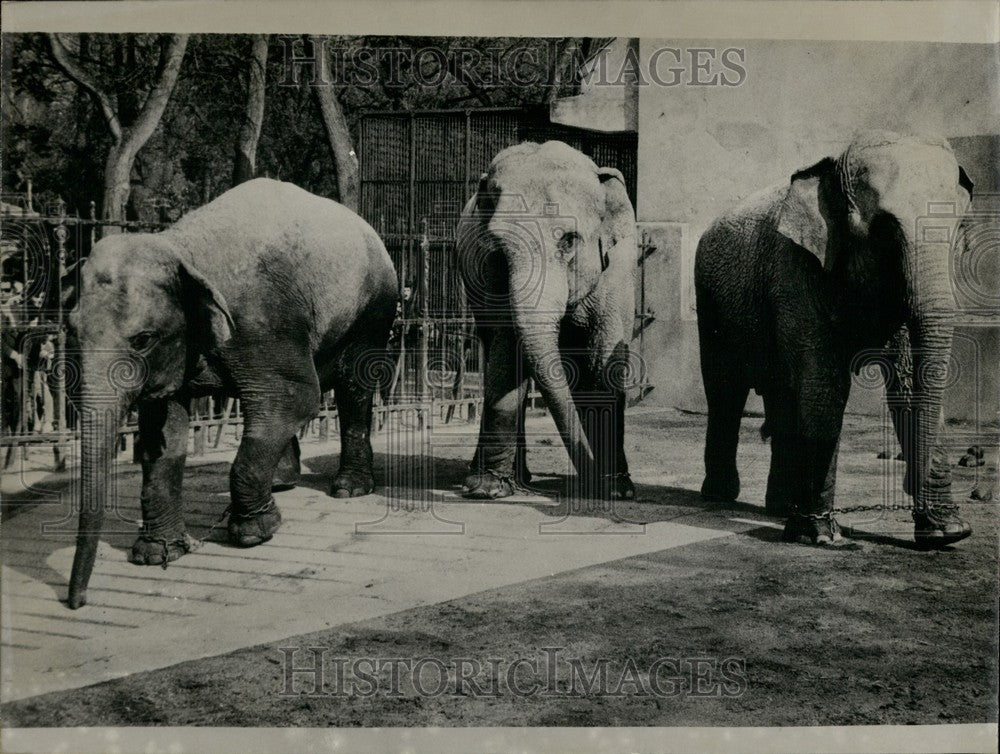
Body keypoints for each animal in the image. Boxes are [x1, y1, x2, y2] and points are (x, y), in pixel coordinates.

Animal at [66, 179, 398, 608]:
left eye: (142, 339)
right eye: (72, 330)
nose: (76, 601)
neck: (181, 246)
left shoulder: (263, 322)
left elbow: (296, 397)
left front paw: (256, 532)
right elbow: (163, 430)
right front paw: (157, 554)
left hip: (372, 309)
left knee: (352, 384)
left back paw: (348, 489)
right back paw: (282, 482)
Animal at [458, 141, 636, 500]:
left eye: (568, 240)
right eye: (499, 249)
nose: (593, 484)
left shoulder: (614, 272)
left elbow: (604, 360)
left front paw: (617, 490)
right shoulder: (493, 279)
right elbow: (506, 357)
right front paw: (487, 489)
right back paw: (509, 479)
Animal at [700, 131, 972, 548]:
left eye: (959, 230)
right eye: (885, 231)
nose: (906, 484)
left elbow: (908, 385)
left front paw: (948, 534)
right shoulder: (797, 269)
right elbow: (824, 383)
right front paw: (821, 537)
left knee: (782, 393)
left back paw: (781, 508)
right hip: (710, 300)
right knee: (725, 389)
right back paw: (721, 496)